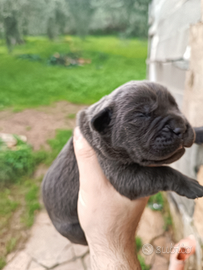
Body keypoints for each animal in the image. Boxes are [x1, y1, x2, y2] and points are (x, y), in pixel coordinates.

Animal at [42, 80, 203, 245]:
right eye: (142, 115)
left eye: (175, 105)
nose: (181, 127)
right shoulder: (123, 175)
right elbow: (162, 171)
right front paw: (189, 184)